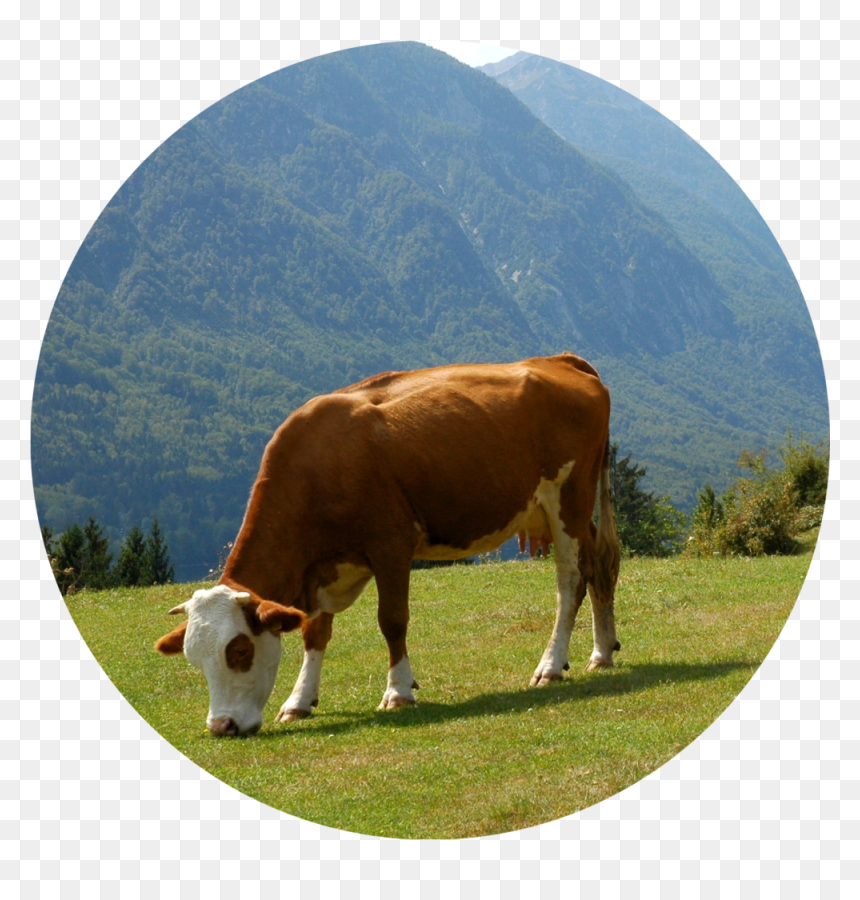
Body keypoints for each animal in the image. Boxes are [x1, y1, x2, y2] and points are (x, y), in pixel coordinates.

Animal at [155, 352, 621, 736]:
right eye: (194, 659)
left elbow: (392, 620)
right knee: (601, 565)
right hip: (568, 510)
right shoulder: (322, 569)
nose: (222, 727)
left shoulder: (391, 546)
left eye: (239, 650)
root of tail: (560, 360)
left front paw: (399, 691)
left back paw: (551, 665)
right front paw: (299, 700)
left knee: (571, 582)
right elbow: (314, 631)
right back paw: (602, 652)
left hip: (568, 499)